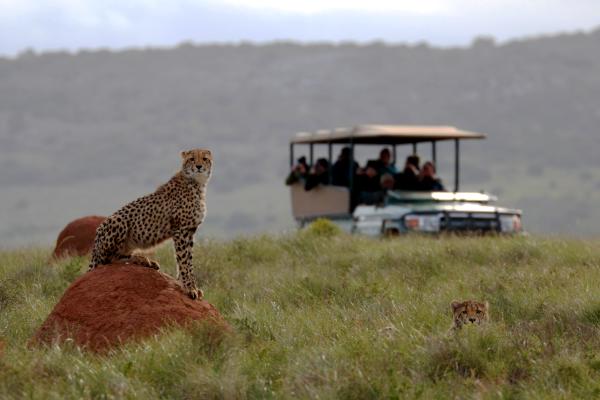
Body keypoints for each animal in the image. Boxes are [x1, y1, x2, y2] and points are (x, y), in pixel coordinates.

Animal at [88, 148, 212, 298]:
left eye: (205, 159)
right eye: (192, 159)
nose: (199, 166)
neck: (197, 183)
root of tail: (94, 248)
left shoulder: (189, 230)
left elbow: (186, 260)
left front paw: (187, 284)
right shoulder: (181, 230)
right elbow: (184, 261)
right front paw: (189, 288)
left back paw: (147, 261)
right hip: (118, 220)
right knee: (109, 260)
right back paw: (140, 258)